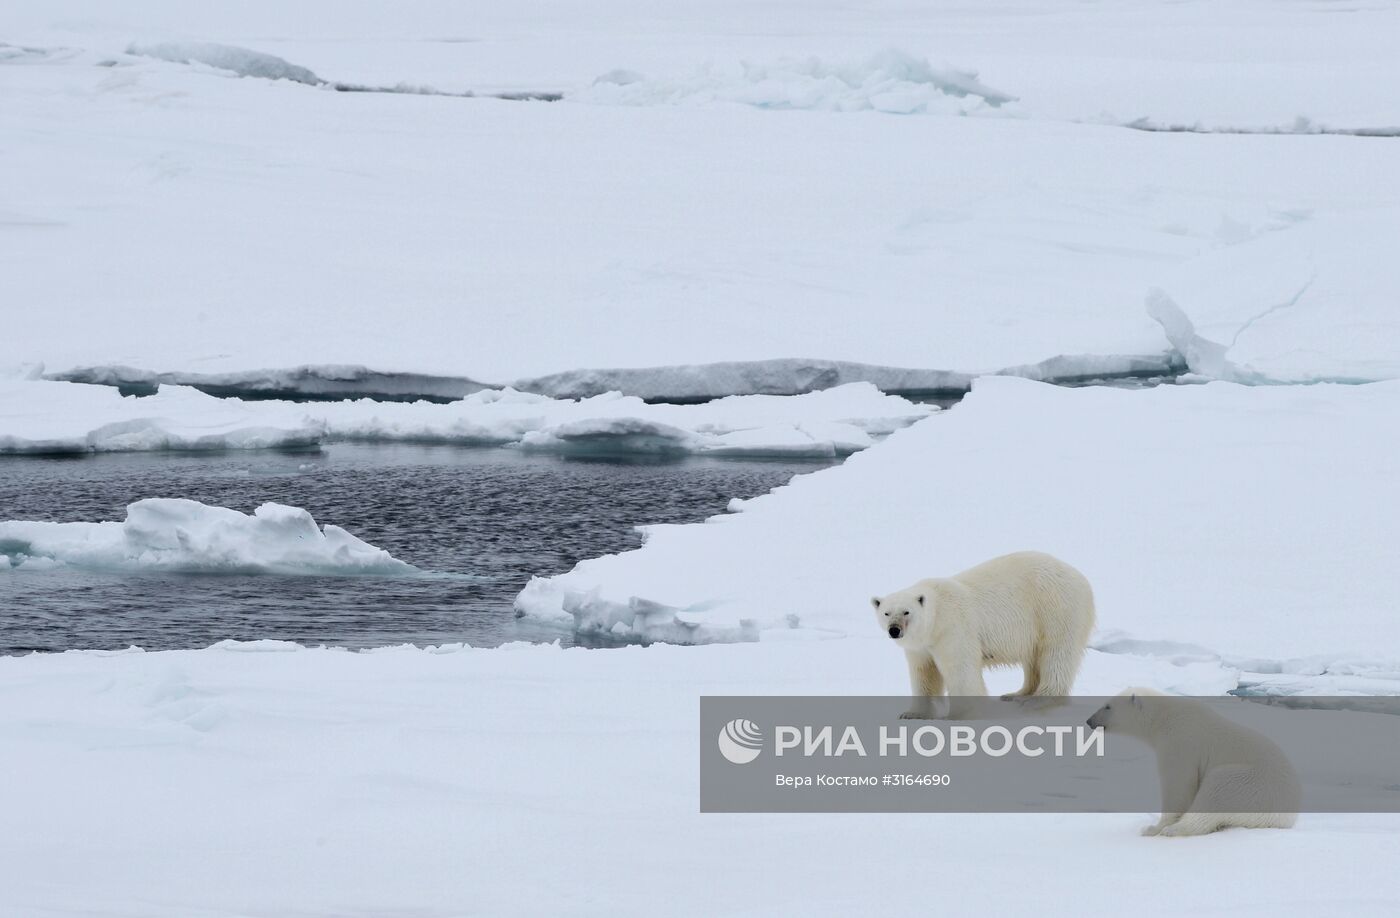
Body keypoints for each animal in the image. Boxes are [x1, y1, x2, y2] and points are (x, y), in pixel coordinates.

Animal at [873, 551, 1092, 716]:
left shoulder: (954, 628)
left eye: (906, 612)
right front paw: (912, 713)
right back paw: (1017, 694)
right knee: (1033, 658)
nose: (895, 630)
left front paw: (960, 714)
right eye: (886, 613)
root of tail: (1081, 577)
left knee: (1055, 654)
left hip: (1054, 609)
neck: (936, 616)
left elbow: (960, 669)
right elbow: (923, 672)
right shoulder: (920, 646)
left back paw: (1037, 700)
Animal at [1080, 691, 1299, 834]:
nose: (1089, 720)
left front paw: (1155, 828)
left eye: (1108, 705)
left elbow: (1178, 785)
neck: (1164, 717)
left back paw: (1173, 830)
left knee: (1216, 791)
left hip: (1252, 785)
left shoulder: (1180, 741)